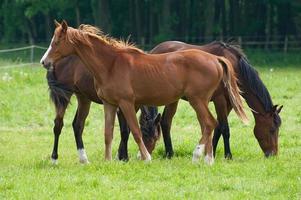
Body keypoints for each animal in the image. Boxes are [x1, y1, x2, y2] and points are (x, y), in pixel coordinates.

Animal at [39, 19, 246, 164]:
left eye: (57, 41)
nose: (44, 62)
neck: (111, 64)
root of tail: (216, 59)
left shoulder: (127, 103)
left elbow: (134, 131)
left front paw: (145, 157)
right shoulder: (110, 104)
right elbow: (108, 133)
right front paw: (108, 160)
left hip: (198, 100)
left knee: (209, 123)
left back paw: (200, 157)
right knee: (209, 124)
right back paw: (207, 158)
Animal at [141, 41, 282, 159]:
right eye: (272, 129)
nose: (272, 154)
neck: (233, 67)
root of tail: (153, 50)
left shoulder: (229, 103)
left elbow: (218, 127)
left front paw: (211, 152)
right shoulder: (220, 100)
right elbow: (225, 128)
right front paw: (228, 155)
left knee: (165, 121)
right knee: (166, 122)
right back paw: (169, 153)